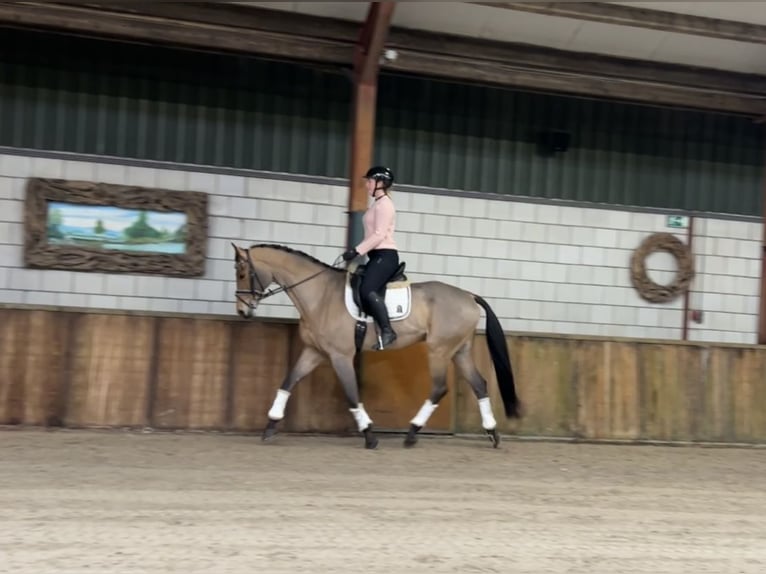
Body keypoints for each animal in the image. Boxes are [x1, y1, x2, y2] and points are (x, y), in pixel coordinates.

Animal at [234, 243, 520, 450]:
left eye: (242, 273)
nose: (242, 311)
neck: (320, 295)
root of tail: (469, 296)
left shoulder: (340, 356)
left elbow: (352, 394)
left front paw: (369, 436)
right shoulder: (314, 352)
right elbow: (288, 381)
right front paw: (270, 426)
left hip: (439, 350)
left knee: (440, 388)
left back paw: (412, 434)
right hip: (459, 350)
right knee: (479, 384)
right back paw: (492, 434)